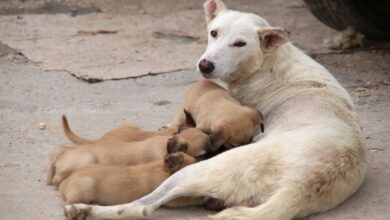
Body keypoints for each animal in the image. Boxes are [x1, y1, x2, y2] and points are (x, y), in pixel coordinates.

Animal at [59, 152, 197, 205]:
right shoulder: (171, 198)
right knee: (70, 203)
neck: (163, 170)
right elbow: (188, 198)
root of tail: (65, 183)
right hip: (85, 187)